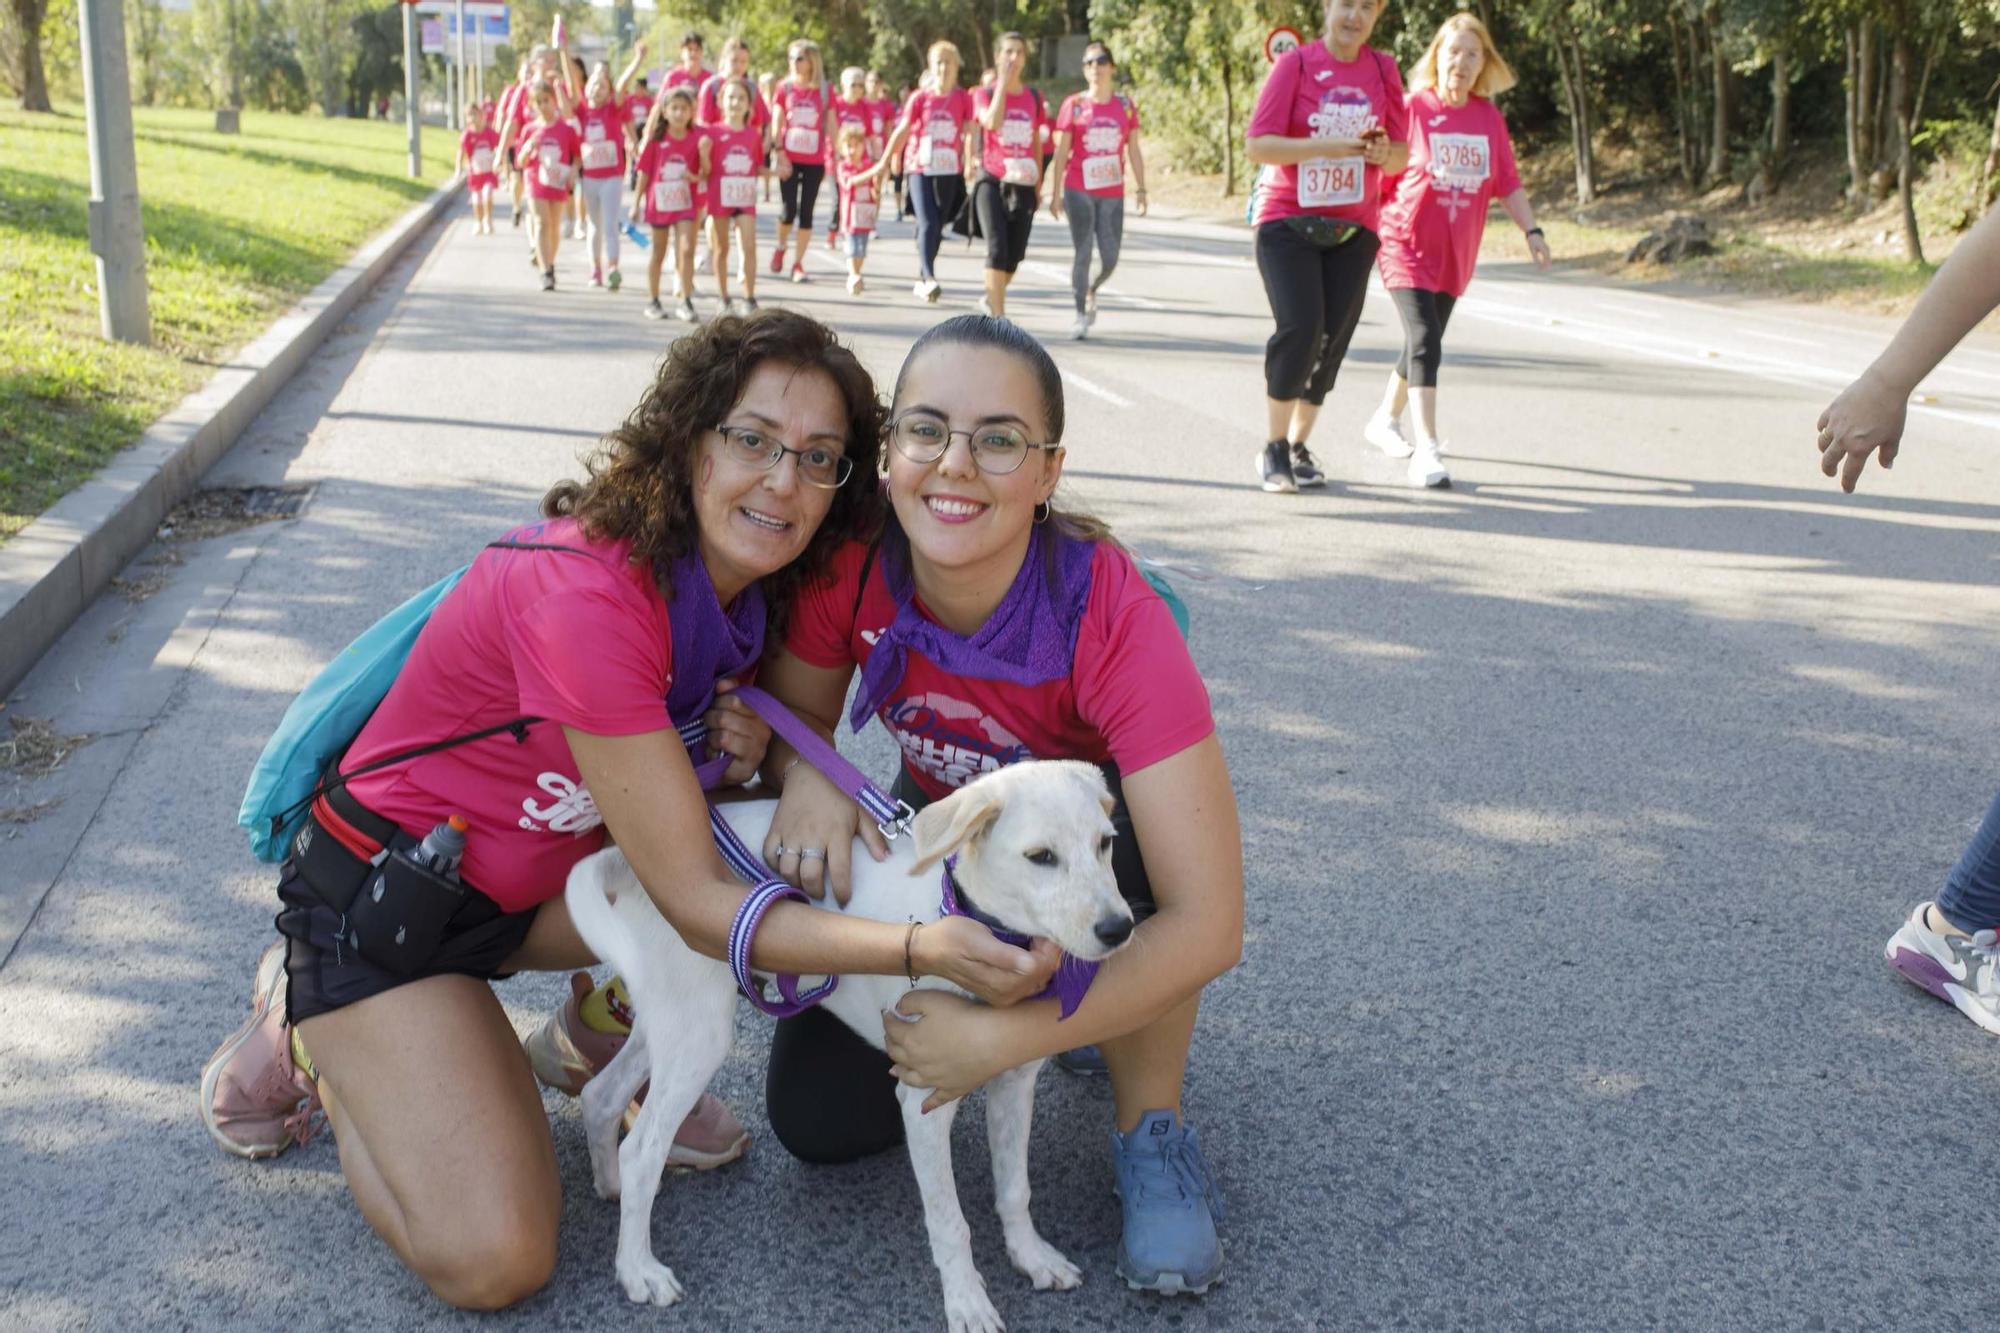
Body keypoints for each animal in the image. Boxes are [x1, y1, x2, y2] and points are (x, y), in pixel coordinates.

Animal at [564, 756, 1144, 1328]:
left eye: (1105, 843)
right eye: (1040, 857)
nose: (1120, 929)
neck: (965, 913)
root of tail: (631, 865)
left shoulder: (1015, 1082)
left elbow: (1015, 1189)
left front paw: (1032, 1257)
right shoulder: (922, 1103)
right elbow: (950, 1221)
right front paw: (967, 1302)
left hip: (674, 1020)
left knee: (601, 1095)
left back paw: (610, 1187)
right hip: (700, 1032)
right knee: (641, 1150)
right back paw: (638, 1269)